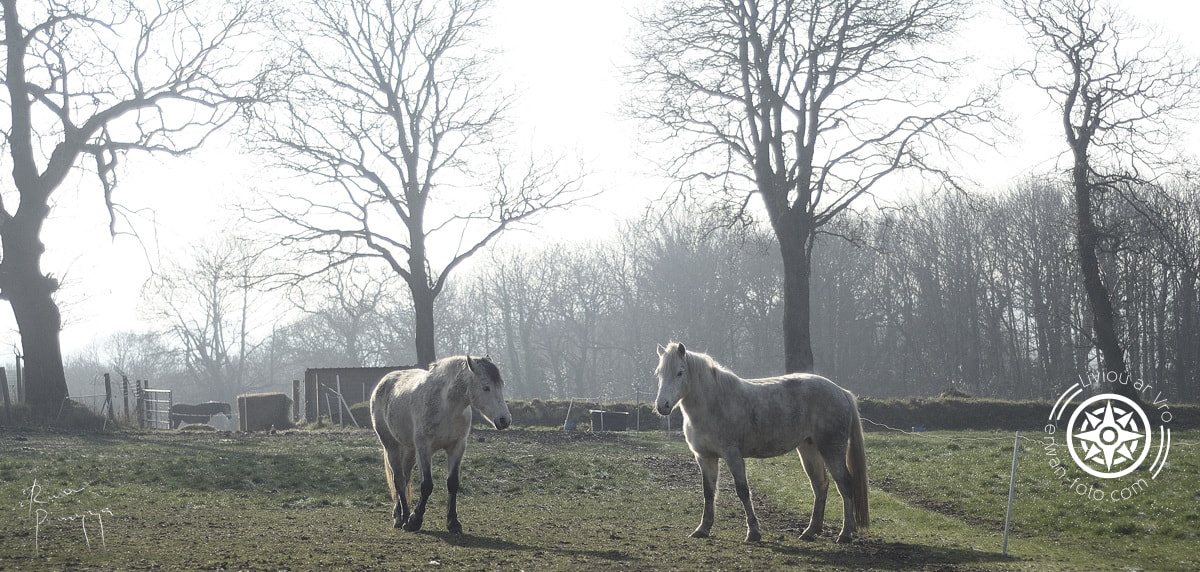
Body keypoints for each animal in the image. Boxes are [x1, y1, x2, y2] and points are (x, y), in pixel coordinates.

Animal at [369, 354, 511, 532]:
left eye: (501, 386)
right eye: (486, 387)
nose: (504, 420)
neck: (446, 407)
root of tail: (383, 383)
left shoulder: (457, 448)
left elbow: (453, 483)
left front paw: (453, 522)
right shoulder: (424, 449)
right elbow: (426, 485)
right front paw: (414, 520)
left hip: (409, 450)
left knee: (405, 477)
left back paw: (398, 515)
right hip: (391, 446)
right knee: (399, 481)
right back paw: (403, 519)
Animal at [657, 340, 873, 542]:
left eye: (680, 372)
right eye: (659, 373)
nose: (662, 406)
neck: (714, 403)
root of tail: (841, 391)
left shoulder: (733, 455)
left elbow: (743, 491)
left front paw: (753, 532)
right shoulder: (705, 457)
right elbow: (708, 493)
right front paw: (703, 529)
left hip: (832, 450)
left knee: (845, 485)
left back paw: (845, 533)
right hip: (809, 450)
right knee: (820, 485)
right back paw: (810, 531)